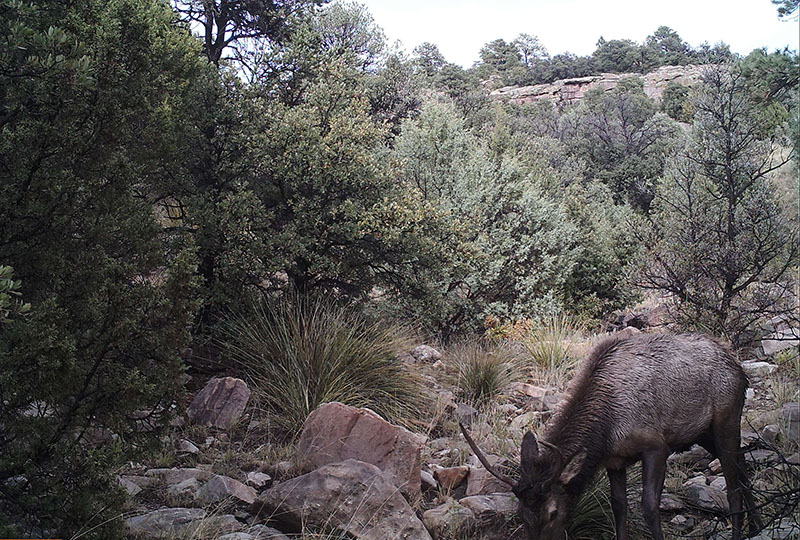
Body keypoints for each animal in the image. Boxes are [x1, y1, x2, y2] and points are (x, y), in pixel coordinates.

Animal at [460, 334, 760, 540]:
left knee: (733, 483)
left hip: (726, 419)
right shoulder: (615, 461)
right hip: (704, 433)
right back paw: (756, 527)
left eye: (553, 512)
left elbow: (649, 506)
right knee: (744, 469)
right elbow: (619, 506)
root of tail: (740, 371)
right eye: (520, 514)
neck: (606, 432)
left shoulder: (656, 445)